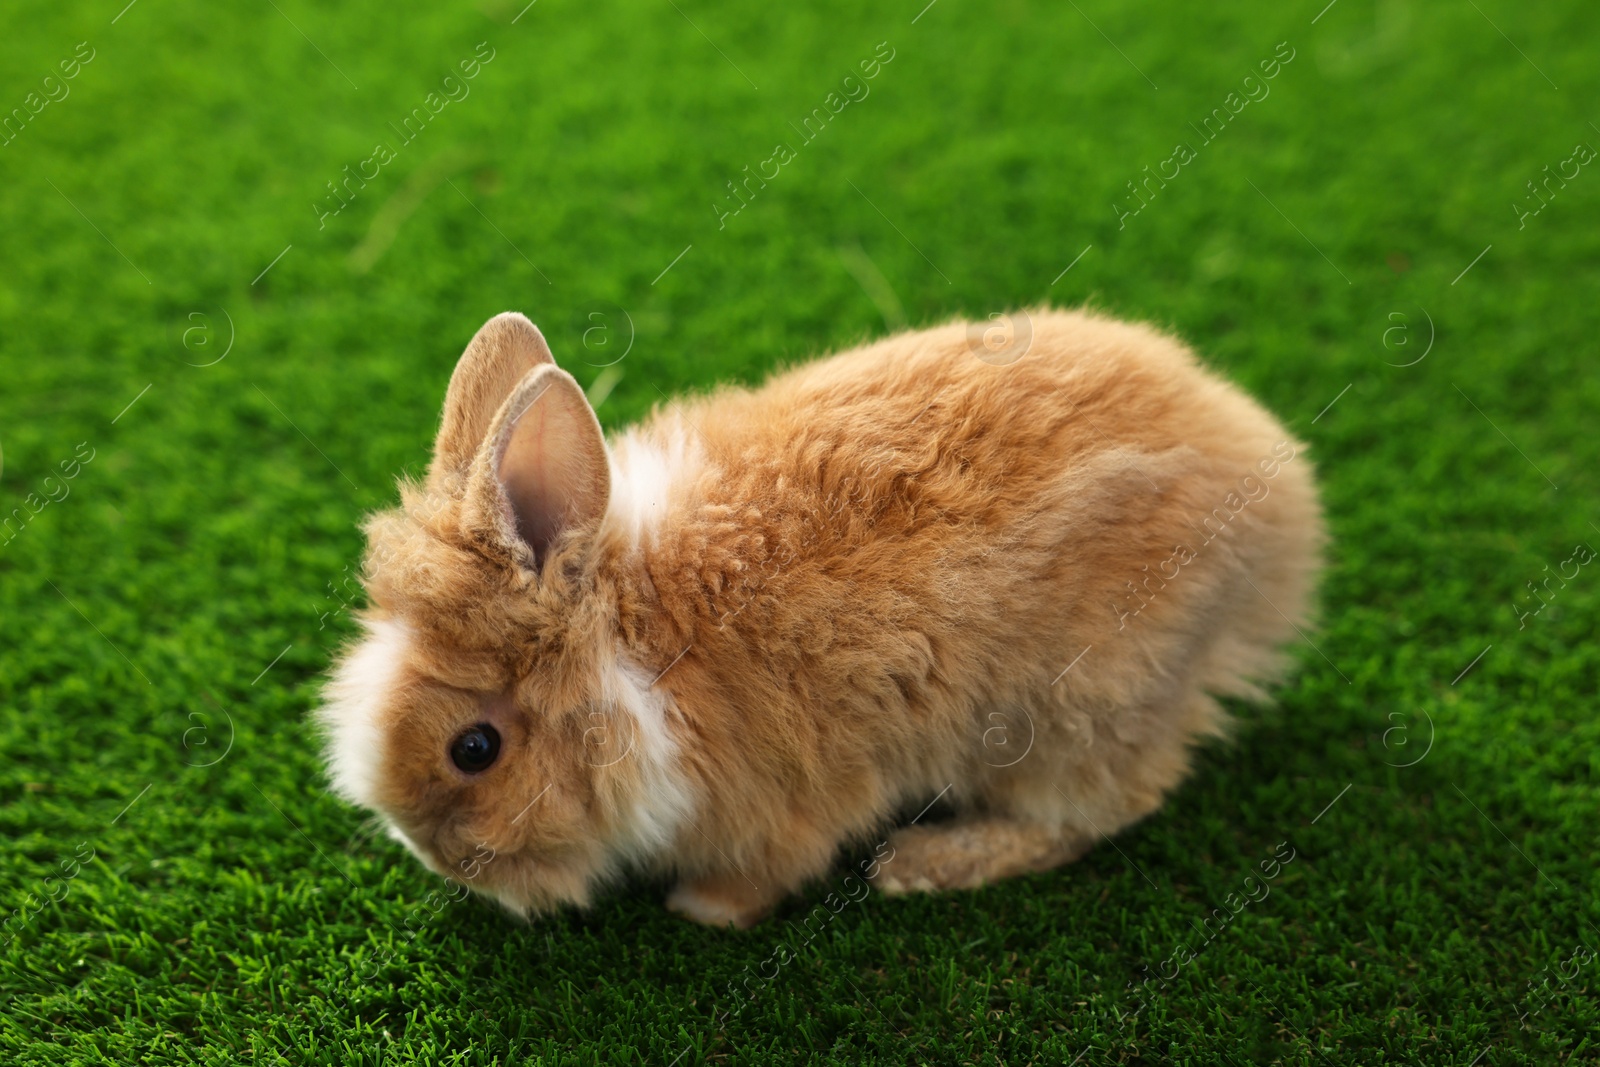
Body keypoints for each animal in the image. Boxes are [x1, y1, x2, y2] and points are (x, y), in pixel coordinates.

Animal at [315, 307, 1324, 927]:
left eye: (474, 749)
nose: (433, 855)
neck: (634, 648)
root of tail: (1284, 516)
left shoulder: (780, 803)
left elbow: (764, 870)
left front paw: (703, 908)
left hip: (1075, 711)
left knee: (1097, 812)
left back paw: (920, 863)